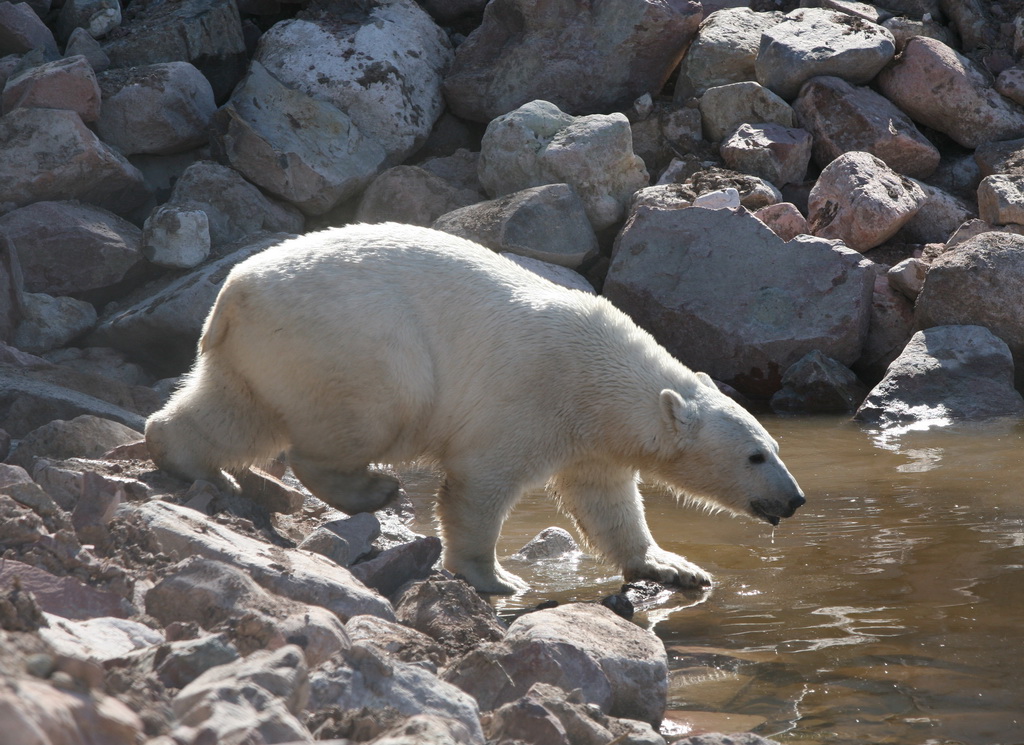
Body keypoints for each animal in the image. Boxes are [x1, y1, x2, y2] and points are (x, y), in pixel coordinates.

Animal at [146, 221, 806, 593]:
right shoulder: (532, 395)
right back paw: (373, 490)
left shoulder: (591, 438)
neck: (598, 373)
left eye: (775, 448)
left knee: (233, 409)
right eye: (755, 456)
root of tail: (234, 292)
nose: (796, 499)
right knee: (359, 416)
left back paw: (188, 460)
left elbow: (607, 502)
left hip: (261, 350)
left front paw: (675, 567)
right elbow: (480, 483)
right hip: (352, 344)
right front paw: (495, 578)